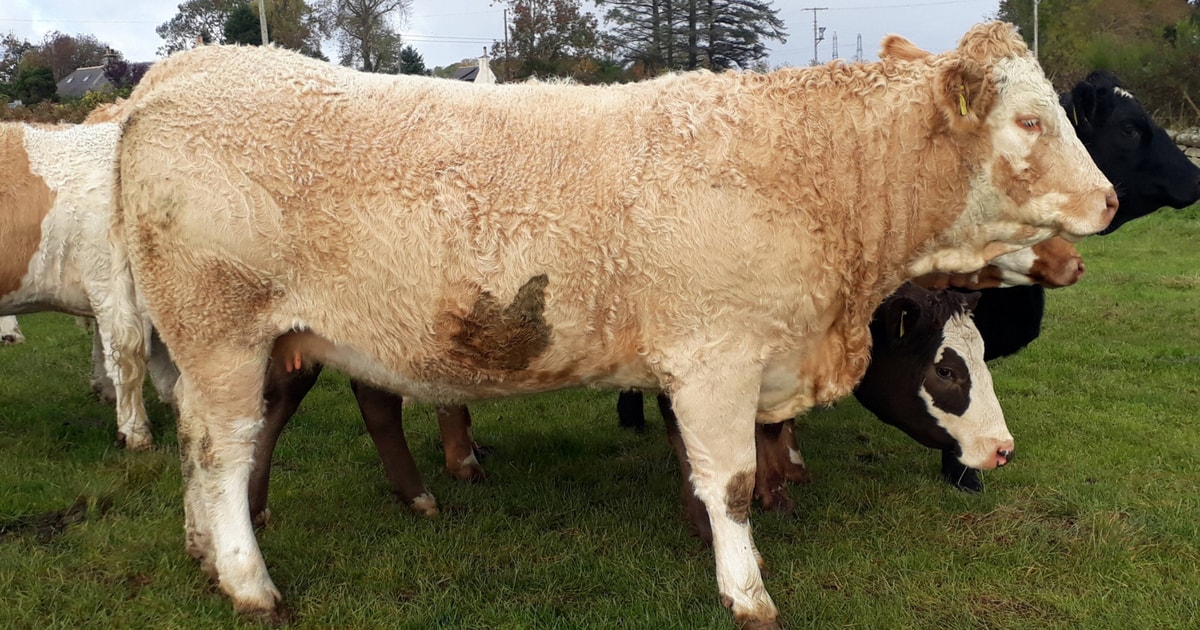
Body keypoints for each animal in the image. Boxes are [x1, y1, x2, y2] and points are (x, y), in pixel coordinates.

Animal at [114, 24, 1115, 625]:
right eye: (1031, 120)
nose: (1107, 200)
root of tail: (180, 71)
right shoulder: (716, 359)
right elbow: (733, 484)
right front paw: (746, 589)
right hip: (224, 333)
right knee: (226, 449)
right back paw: (250, 581)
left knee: (202, 443)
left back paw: (207, 552)